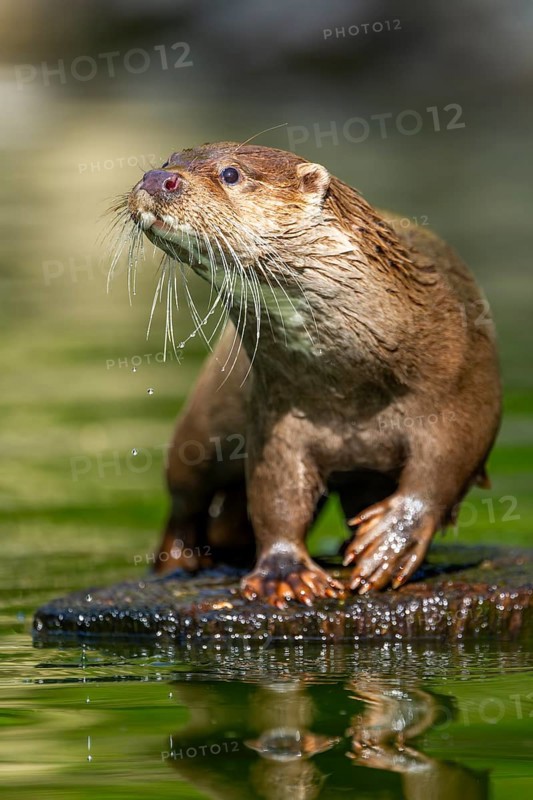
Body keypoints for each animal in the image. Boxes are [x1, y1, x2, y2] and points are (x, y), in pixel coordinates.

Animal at [123, 142, 501, 607]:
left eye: (231, 174)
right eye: (170, 159)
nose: (159, 178)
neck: (353, 385)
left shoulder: (465, 389)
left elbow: (443, 468)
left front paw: (392, 541)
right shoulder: (278, 416)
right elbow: (276, 493)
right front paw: (283, 572)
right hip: (202, 423)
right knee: (185, 498)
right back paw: (178, 563)